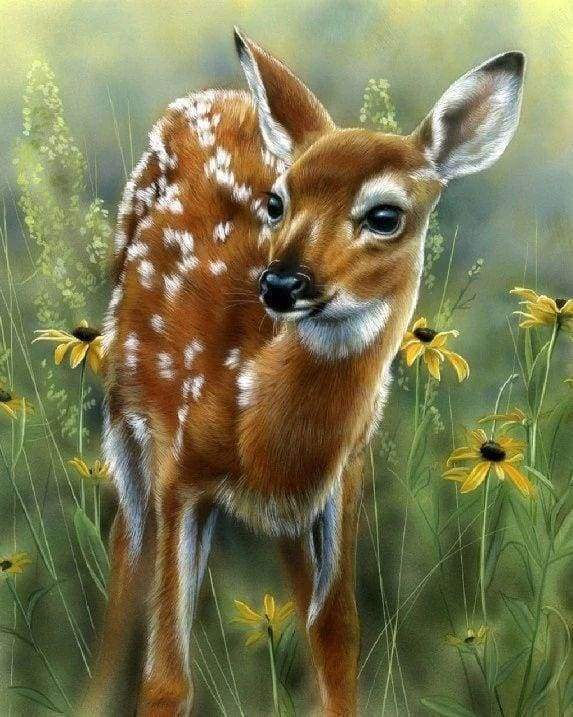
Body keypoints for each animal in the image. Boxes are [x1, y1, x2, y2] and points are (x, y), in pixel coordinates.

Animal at [86, 28, 524, 716]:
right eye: (277, 202)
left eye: (384, 215)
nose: (280, 283)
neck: (250, 405)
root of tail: (216, 93)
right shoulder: (179, 465)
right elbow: (165, 677)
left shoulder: (342, 476)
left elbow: (337, 637)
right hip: (123, 408)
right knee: (126, 546)